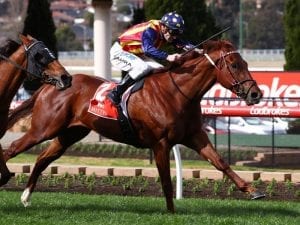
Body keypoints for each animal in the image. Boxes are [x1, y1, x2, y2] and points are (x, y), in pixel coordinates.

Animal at [5, 39, 264, 212]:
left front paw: (253, 191)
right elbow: (166, 179)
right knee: (13, 148)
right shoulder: (160, 143)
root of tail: (50, 85)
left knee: (43, 159)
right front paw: (171, 211)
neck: (177, 93)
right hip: (44, 128)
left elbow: (220, 163)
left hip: (70, 133)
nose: (256, 94)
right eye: (234, 64)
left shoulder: (194, 135)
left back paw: (26, 197)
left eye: (245, 62)